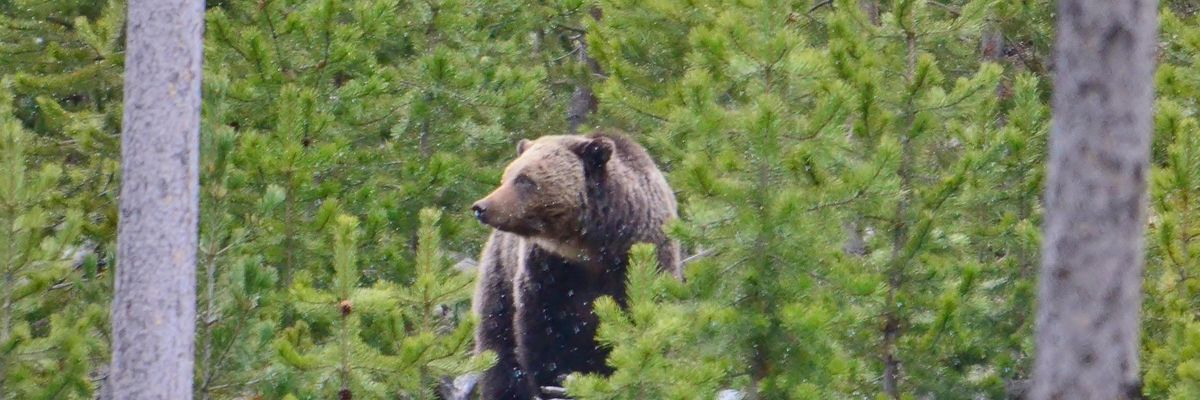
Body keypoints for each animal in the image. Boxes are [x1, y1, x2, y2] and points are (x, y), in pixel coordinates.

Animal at [469, 131, 682, 400]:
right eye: (506, 176)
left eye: (524, 179)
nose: (481, 207)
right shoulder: (547, 269)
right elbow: (542, 332)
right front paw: (555, 382)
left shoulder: (641, 259)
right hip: (499, 279)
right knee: (498, 350)